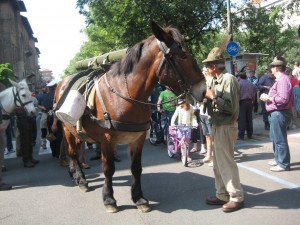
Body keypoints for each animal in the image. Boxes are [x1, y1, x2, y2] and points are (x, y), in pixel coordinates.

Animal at [54, 21, 206, 213]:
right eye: (183, 55)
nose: (203, 90)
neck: (125, 94)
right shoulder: (107, 140)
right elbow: (108, 169)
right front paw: (109, 199)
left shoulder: (138, 138)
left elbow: (136, 168)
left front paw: (139, 198)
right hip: (68, 129)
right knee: (73, 153)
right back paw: (81, 180)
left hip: (78, 132)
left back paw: (75, 174)